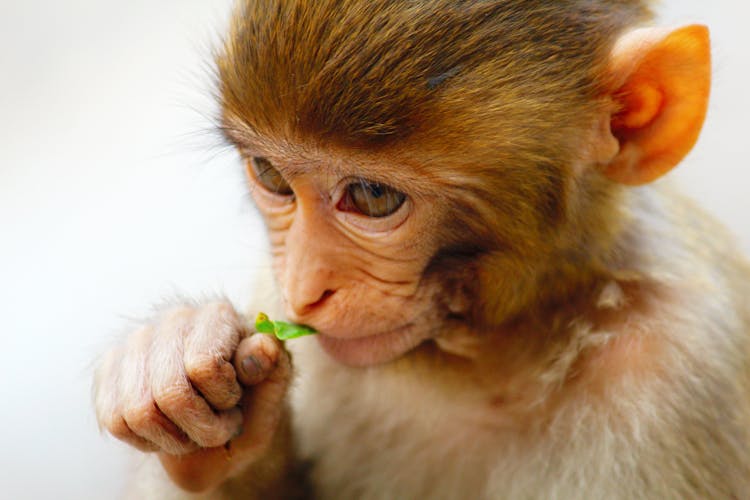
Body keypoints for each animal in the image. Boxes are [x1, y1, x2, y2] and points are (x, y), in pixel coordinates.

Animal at [94, 0, 750, 498]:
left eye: (372, 197)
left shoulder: (675, 374)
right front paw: (176, 357)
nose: (303, 290)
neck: (490, 357)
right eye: (271, 175)